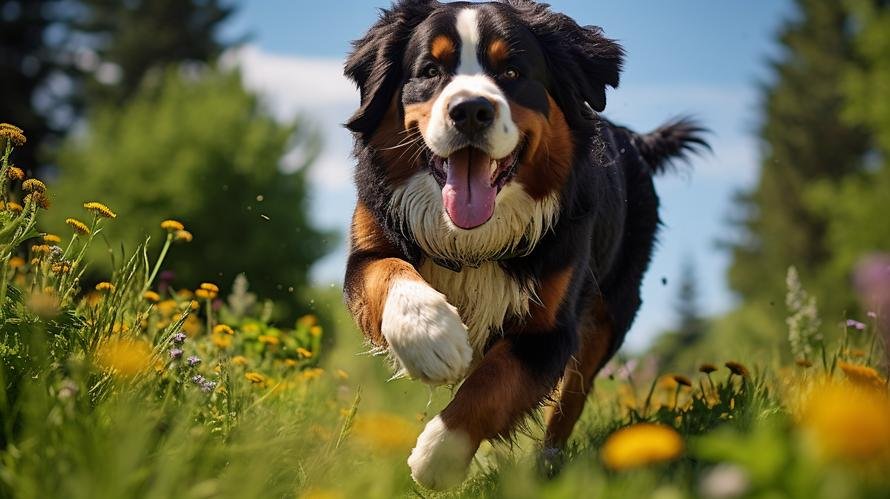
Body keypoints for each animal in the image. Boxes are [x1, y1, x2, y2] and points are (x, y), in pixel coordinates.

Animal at [342, 0, 708, 492]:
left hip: (610, 313)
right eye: (431, 70)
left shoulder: (549, 329)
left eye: (512, 71)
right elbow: (390, 272)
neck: (472, 238)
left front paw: (437, 455)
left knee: (569, 400)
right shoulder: (367, 249)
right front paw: (431, 336)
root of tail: (632, 137)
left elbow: (491, 385)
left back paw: (548, 465)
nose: (470, 110)